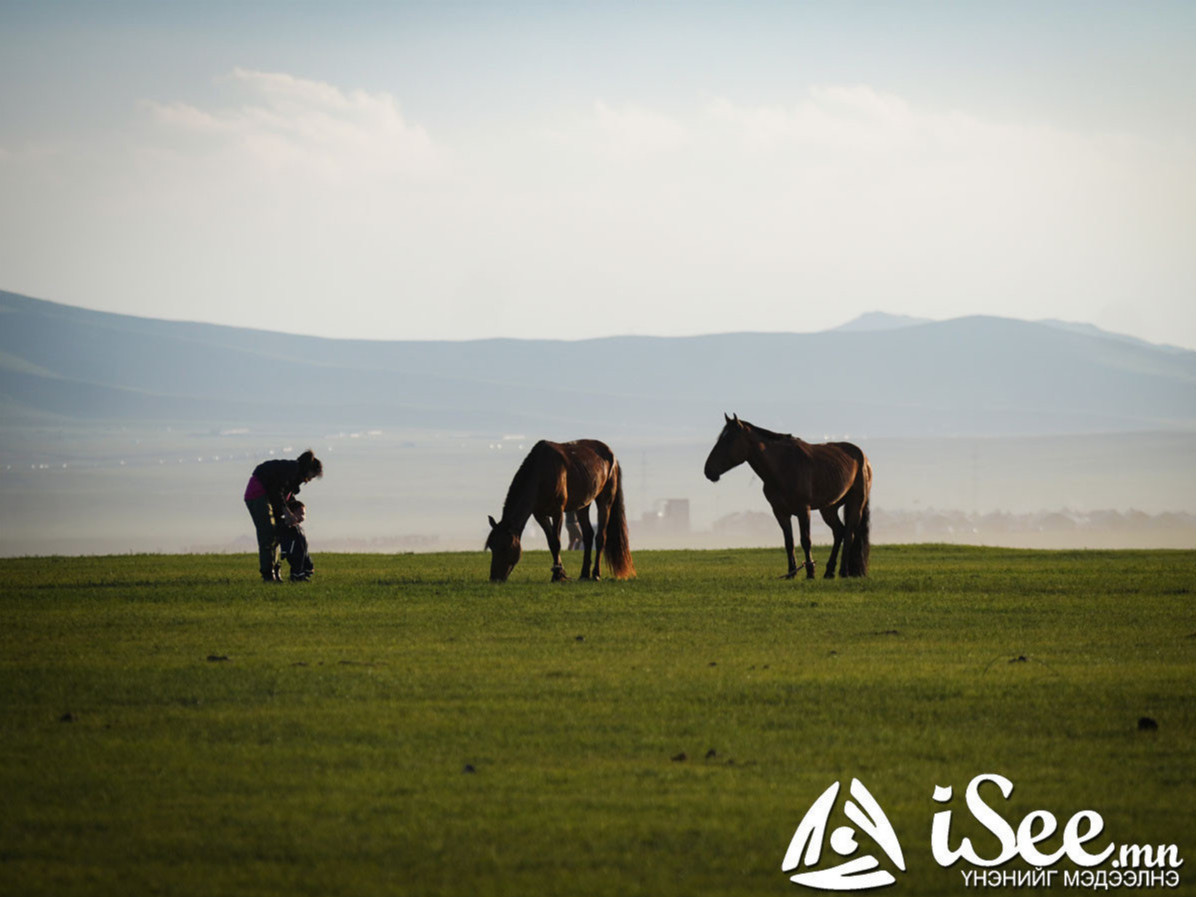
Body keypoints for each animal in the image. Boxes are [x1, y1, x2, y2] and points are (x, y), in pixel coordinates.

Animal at [485, 438, 636, 582]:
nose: (495, 578)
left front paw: (558, 575)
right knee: (587, 535)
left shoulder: (557, 512)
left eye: (505, 547)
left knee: (600, 537)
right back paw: (584, 574)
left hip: (605, 501)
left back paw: (595, 574)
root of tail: (612, 456)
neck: (542, 472)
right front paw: (558, 573)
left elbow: (557, 542)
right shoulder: (540, 515)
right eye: (491, 546)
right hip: (583, 506)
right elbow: (551, 543)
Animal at [699, 414, 871, 577]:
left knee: (849, 534)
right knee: (839, 531)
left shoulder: (803, 510)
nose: (708, 470)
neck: (783, 466)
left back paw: (844, 571)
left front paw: (810, 572)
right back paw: (829, 572)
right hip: (828, 509)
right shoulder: (780, 512)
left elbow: (805, 541)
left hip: (856, 504)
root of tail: (862, 457)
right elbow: (789, 542)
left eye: (729, 440)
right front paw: (791, 573)